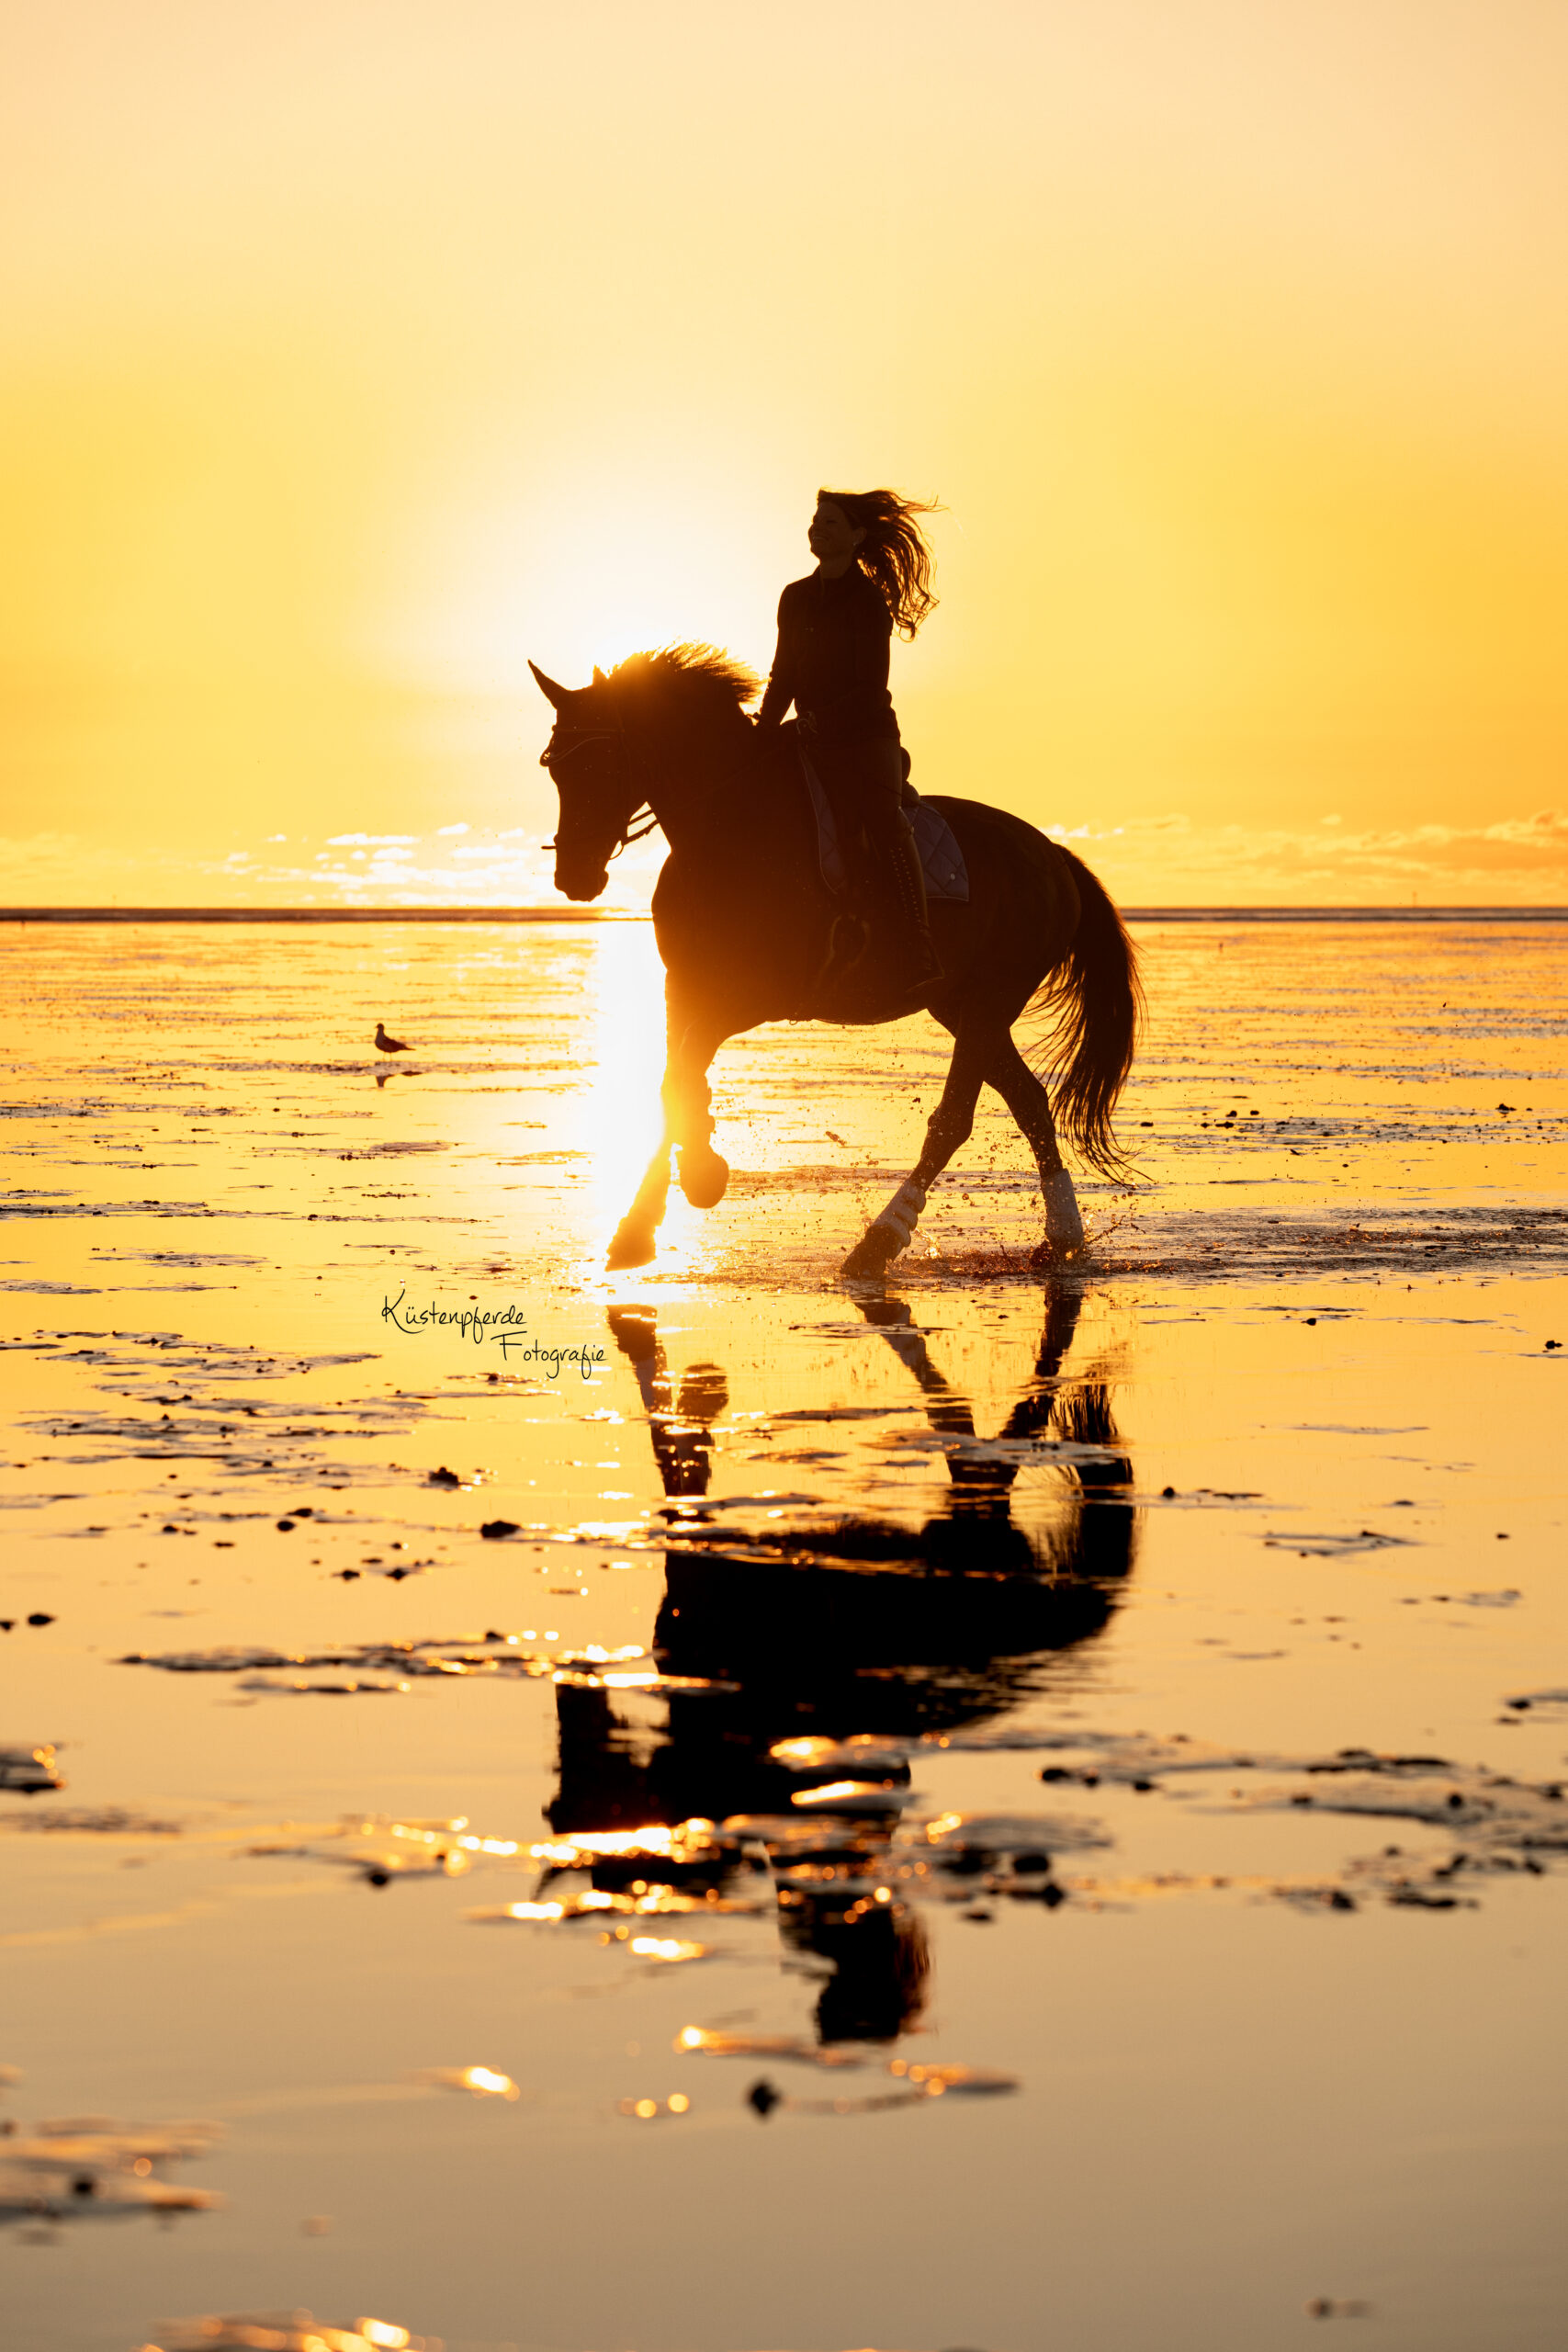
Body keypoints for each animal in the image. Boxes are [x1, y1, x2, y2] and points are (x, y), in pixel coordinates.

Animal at [531, 644, 1142, 1279]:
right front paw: (641, 1225)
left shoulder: (756, 996)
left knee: (953, 1120)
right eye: (555, 769)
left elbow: (680, 1080)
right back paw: (1062, 1239)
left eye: (601, 763)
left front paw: (702, 1175)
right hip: (961, 1006)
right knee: (1029, 1103)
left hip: (987, 1002)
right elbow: (673, 1082)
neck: (726, 830)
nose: (574, 875)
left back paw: (879, 1243)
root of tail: (1053, 855)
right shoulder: (684, 987)